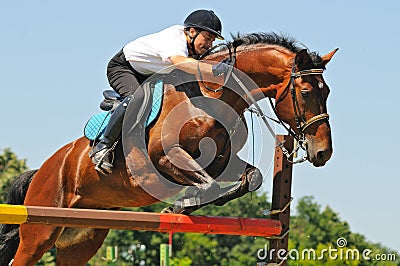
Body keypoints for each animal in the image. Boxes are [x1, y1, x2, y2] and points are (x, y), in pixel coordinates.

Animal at [0, 32, 338, 264]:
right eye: (305, 92)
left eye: (328, 92)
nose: (323, 153)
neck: (212, 94)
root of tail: (43, 169)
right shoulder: (164, 158)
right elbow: (207, 182)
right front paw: (183, 204)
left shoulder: (223, 160)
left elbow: (248, 178)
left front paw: (189, 203)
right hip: (39, 232)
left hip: (81, 240)